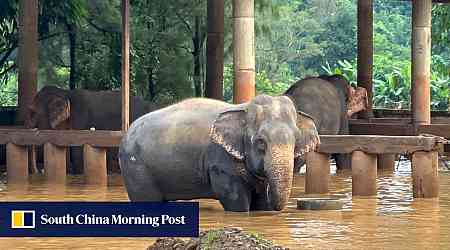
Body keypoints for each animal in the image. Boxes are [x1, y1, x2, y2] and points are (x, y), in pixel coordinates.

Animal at [118, 94, 318, 212]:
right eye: (261, 142)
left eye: (296, 140)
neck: (243, 108)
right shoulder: (220, 160)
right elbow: (235, 200)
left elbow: (260, 202)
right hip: (135, 167)